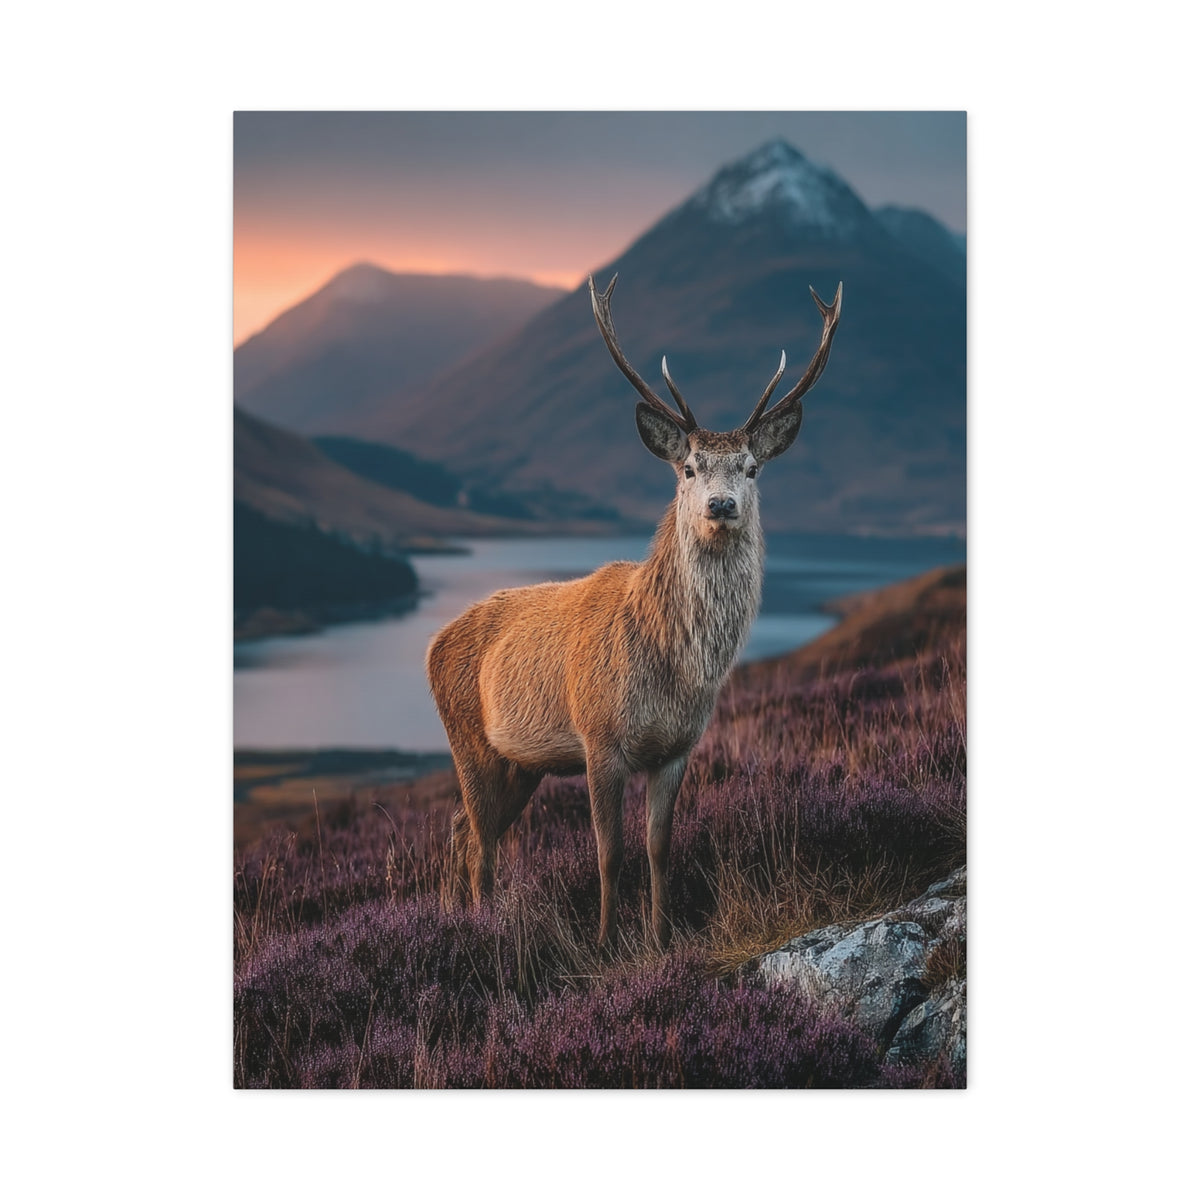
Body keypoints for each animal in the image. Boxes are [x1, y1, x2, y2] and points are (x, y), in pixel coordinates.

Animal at [426, 274, 842, 948]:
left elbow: (658, 848)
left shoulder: (677, 749)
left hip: (520, 763)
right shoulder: (599, 740)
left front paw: (659, 936)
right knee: (481, 838)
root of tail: (433, 642)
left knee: (464, 829)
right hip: (468, 740)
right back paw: (482, 925)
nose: (721, 504)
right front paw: (603, 939)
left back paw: (457, 916)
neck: (670, 672)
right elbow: (608, 851)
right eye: (689, 468)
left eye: (751, 468)